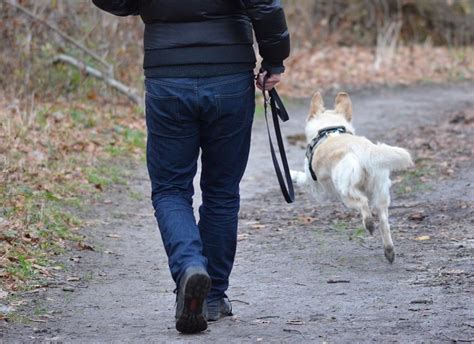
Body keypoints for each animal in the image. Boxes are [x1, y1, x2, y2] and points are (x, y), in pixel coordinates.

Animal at [290, 92, 412, 264]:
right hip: (380, 194)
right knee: (383, 222)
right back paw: (389, 250)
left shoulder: (314, 185)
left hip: (345, 193)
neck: (329, 130)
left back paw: (369, 224)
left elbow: (300, 177)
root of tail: (365, 151)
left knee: (363, 203)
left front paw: (290, 174)